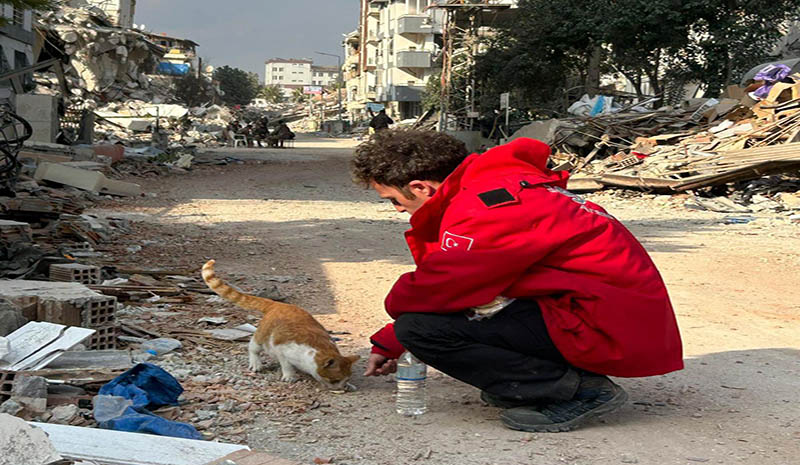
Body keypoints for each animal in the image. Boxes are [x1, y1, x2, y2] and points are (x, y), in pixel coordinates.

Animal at [200, 260, 360, 390]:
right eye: (335, 380)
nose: (342, 388)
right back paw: (256, 363)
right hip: (261, 337)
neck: (319, 348)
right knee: (252, 346)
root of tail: (278, 304)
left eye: (346, 379)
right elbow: (286, 365)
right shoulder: (282, 349)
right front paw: (289, 376)